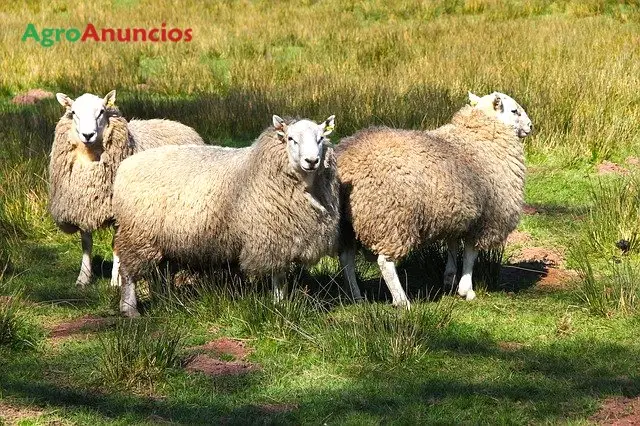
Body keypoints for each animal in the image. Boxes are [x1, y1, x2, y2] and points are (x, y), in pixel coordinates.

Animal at [50, 90, 205, 290]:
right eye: (74, 112)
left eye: (102, 111)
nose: (87, 134)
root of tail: (178, 124)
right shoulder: (83, 207)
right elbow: (86, 243)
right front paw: (83, 278)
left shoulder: (120, 213)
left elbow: (116, 245)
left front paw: (116, 280)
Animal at [112, 115, 340, 318]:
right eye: (291, 138)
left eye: (321, 138)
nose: (312, 161)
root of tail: (125, 166)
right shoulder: (271, 236)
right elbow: (278, 274)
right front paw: (279, 306)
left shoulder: (284, 237)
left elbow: (281, 275)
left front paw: (282, 303)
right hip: (138, 234)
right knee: (128, 272)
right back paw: (130, 309)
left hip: (162, 239)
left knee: (159, 271)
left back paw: (165, 299)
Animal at [338, 91, 532, 308]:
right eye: (514, 111)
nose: (530, 126)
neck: (479, 135)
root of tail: (347, 162)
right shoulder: (486, 219)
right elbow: (470, 254)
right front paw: (466, 289)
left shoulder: (457, 214)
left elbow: (452, 245)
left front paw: (449, 278)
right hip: (391, 219)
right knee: (385, 262)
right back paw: (402, 301)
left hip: (347, 224)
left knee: (346, 259)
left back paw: (356, 297)